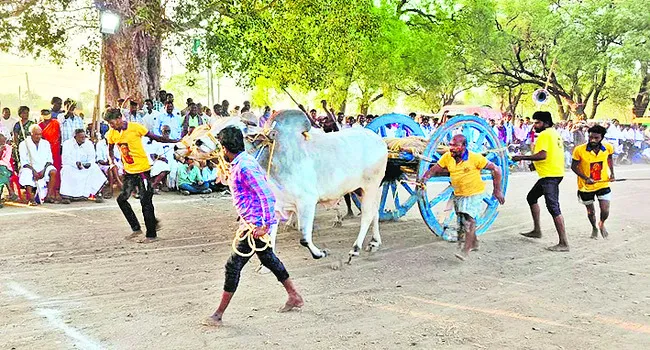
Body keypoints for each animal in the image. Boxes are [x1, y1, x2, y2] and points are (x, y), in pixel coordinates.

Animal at [175, 110, 388, 262]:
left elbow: (304, 236)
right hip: (366, 189)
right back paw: (374, 243)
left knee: (367, 215)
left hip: (370, 186)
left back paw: (355, 249)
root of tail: (379, 140)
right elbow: (269, 236)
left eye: (231, 128)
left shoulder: (307, 202)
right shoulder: (276, 205)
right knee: (374, 213)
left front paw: (318, 253)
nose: (198, 141)